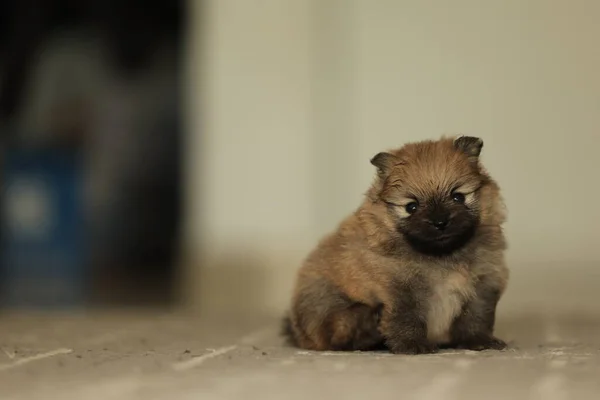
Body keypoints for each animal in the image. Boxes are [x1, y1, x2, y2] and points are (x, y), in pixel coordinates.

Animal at [284, 137, 508, 354]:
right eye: (412, 207)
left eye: (458, 197)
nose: (440, 222)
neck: (442, 255)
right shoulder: (400, 289)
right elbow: (406, 318)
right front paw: (412, 345)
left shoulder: (482, 284)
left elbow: (476, 318)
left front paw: (480, 341)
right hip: (326, 300)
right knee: (338, 330)